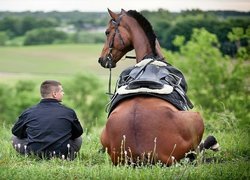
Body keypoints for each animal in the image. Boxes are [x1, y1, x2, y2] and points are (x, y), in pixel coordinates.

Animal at [98, 8, 216, 166]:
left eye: (107, 32)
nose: (102, 59)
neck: (151, 59)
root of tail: (142, 155)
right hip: (196, 118)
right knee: (199, 152)